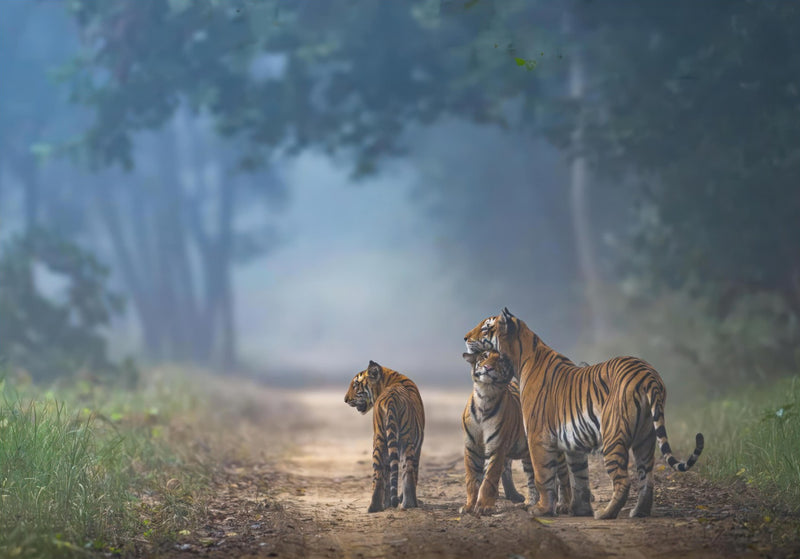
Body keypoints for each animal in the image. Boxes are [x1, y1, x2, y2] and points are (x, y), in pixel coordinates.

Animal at [344, 360, 425, 513]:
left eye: (355, 385)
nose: (345, 400)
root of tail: (391, 397)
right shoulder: (418, 445)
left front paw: (388, 503)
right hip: (404, 439)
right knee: (406, 471)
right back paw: (409, 503)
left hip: (380, 439)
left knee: (380, 474)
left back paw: (375, 507)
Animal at [461, 349, 538, 515]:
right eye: (484, 356)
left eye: (501, 360)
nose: (488, 367)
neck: (485, 395)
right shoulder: (471, 448)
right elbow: (472, 479)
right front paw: (469, 506)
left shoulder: (496, 448)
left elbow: (489, 478)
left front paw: (484, 506)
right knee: (526, 475)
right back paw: (525, 500)